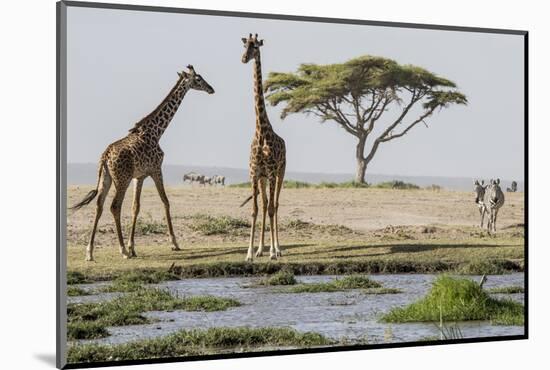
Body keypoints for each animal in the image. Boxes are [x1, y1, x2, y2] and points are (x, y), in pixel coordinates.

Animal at [71, 65, 213, 260]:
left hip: (106, 178)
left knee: (99, 206)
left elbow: (135, 208)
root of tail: (105, 156)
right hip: (121, 180)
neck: (156, 131)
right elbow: (165, 201)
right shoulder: (156, 169)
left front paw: (133, 247)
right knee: (114, 206)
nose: (211, 89)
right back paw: (122, 250)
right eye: (198, 79)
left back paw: (90, 252)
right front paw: (174, 243)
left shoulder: (139, 177)